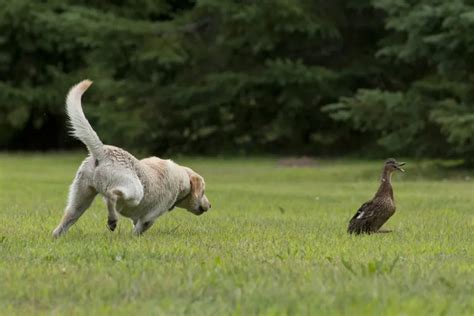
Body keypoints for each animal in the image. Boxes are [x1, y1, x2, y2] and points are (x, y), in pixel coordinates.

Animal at [51, 81, 211, 237]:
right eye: (203, 192)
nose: (210, 206)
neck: (183, 179)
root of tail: (102, 150)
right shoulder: (149, 217)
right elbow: (139, 229)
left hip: (80, 200)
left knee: (63, 223)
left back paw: (57, 236)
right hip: (135, 191)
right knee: (112, 195)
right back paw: (112, 220)